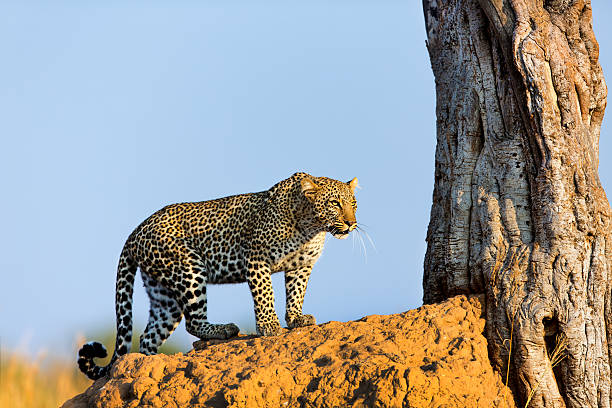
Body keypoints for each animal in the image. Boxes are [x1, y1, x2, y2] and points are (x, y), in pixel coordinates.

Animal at [76, 172, 358, 380]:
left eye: (353, 204)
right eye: (335, 204)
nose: (351, 223)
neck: (311, 227)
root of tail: (135, 231)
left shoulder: (301, 266)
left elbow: (297, 292)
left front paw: (297, 319)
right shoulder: (256, 259)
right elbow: (265, 295)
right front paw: (269, 327)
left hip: (164, 295)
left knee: (149, 336)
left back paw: (148, 364)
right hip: (189, 269)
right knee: (193, 322)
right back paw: (224, 330)